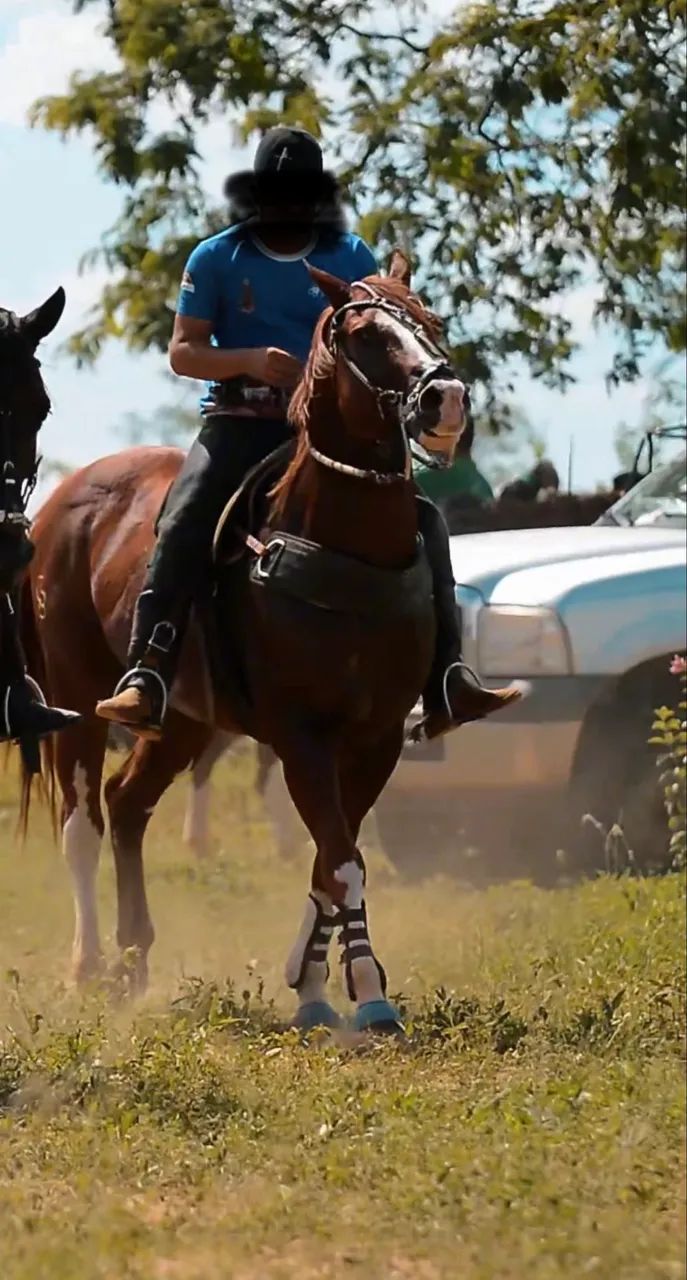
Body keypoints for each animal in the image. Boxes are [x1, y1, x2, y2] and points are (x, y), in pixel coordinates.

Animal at [20, 253, 468, 1032]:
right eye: (366, 334)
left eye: (431, 322)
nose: (445, 399)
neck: (343, 551)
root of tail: (56, 508)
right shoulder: (300, 736)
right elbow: (339, 859)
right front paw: (364, 992)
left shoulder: (377, 736)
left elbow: (332, 856)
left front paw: (313, 982)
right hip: (75, 695)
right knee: (83, 822)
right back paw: (88, 967)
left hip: (183, 719)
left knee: (128, 803)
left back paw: (134, 959)